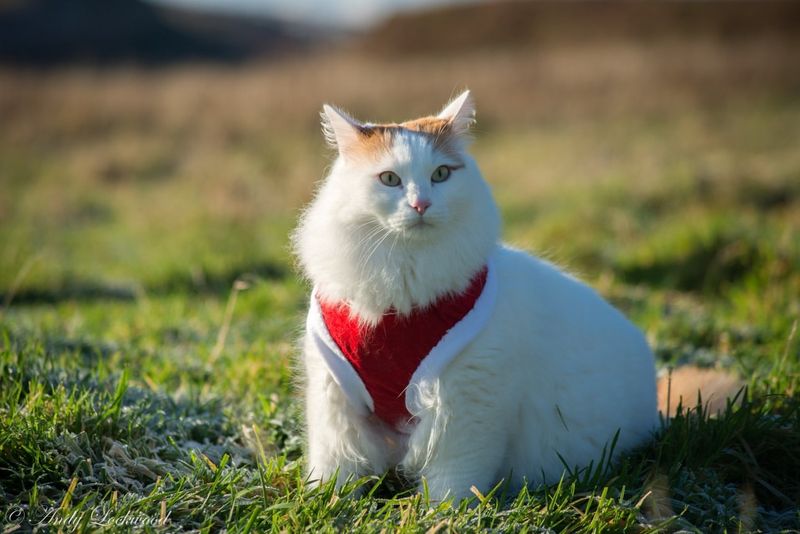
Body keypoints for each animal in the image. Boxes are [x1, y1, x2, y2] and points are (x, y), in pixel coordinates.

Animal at [292, 91, 656, 502]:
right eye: (389, 179)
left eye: (441, 175)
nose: (421, 205)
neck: (402, 293)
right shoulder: (334, 396)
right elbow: (336, 466)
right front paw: (327, 503)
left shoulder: (466, 402)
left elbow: (452, 481)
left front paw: (444, 512)